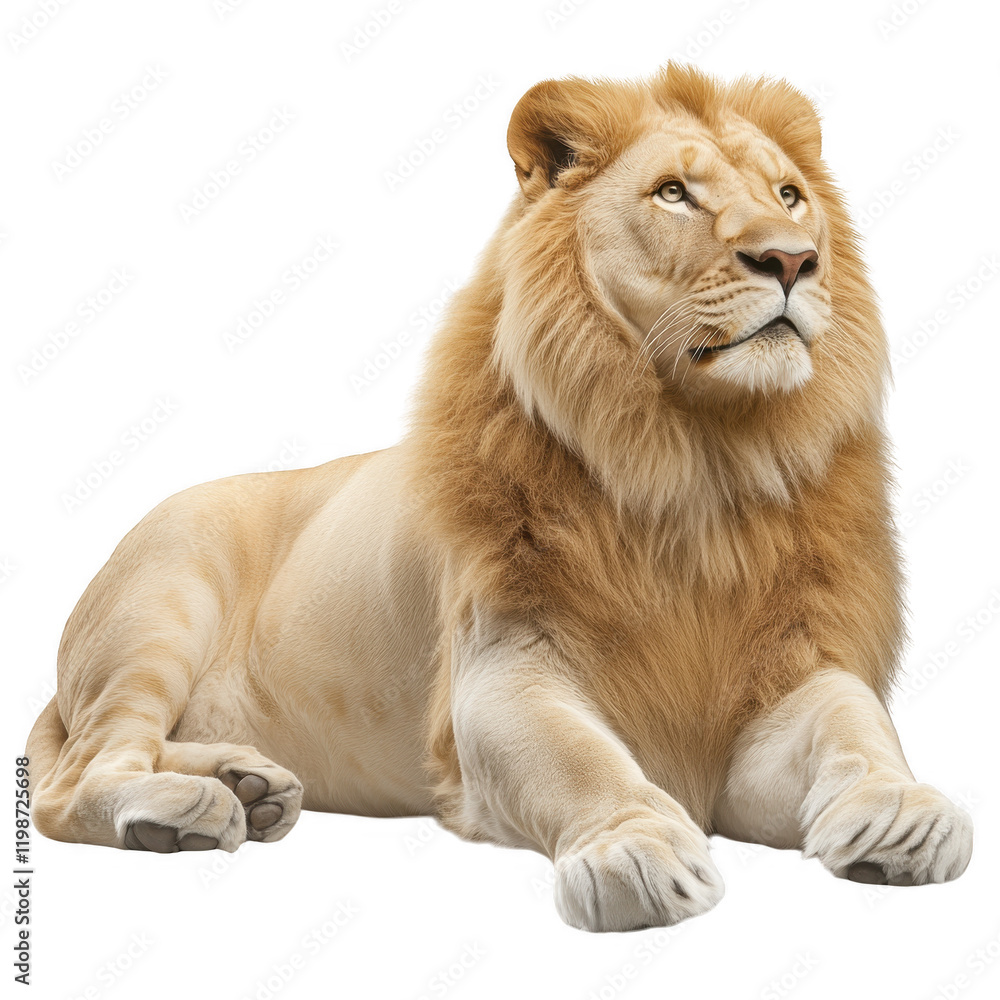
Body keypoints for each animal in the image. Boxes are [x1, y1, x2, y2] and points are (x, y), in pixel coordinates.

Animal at [27, 63, 972, 932]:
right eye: (674, 194)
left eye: (790, 195)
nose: (791, 259)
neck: (701, 466)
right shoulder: (504, 669)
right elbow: (579, 761)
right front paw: (635, 850)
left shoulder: (784, 675)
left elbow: (854, 725)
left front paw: (902, 814)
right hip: (158, 609)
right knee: (76, 778)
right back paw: (187, 810)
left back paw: (245, 779)